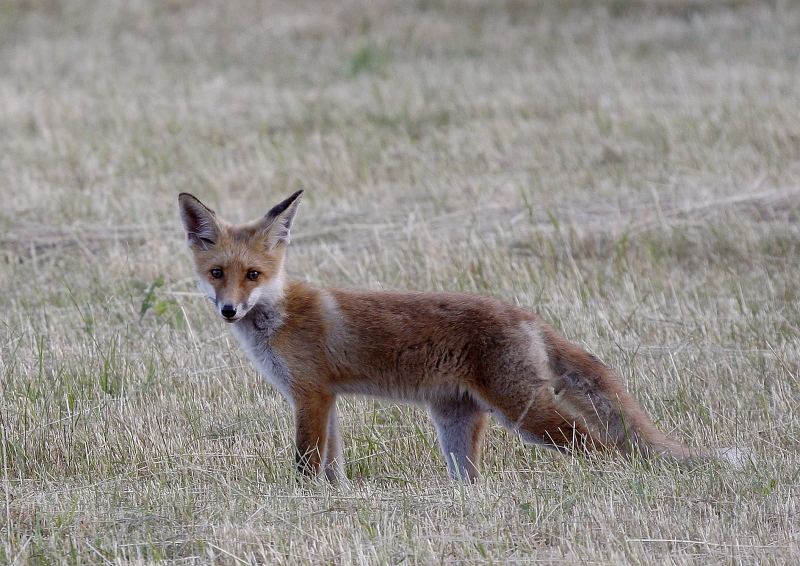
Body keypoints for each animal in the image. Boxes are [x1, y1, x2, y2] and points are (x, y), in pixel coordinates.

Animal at [177, 191, 700, 484]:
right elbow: (332, 466)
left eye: (253, 274)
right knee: (473, 479)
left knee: (601, 447)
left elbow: (307, 464)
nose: (228, 310)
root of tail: (527, 316)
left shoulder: (310, 395)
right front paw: (332, 500)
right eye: (217, 273)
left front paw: (302, 501)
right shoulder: (324, 398)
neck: (279, 316)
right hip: (454, 424)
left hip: (525, 414)